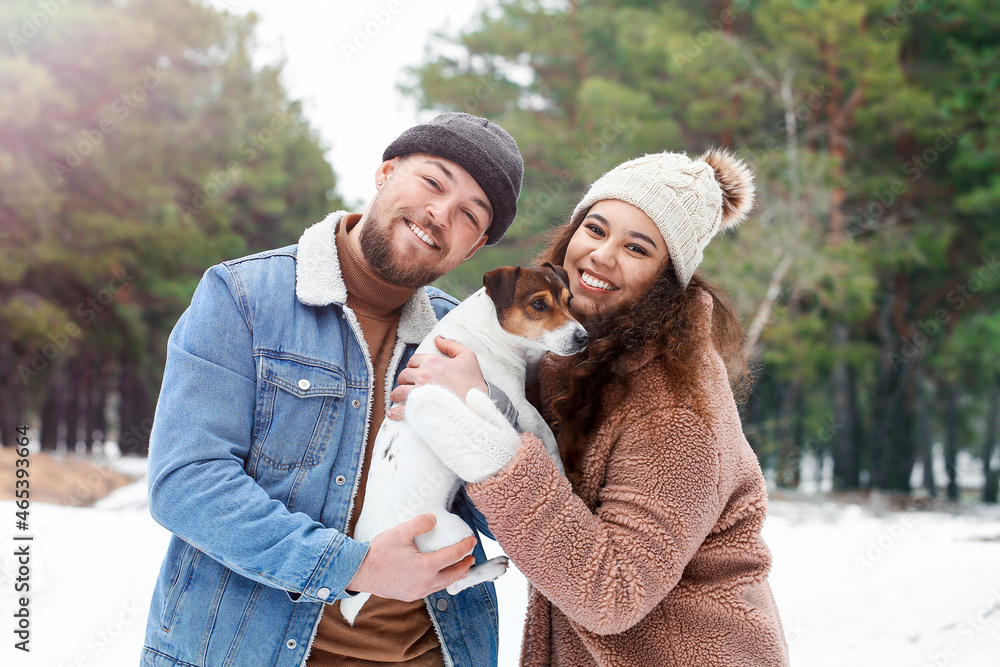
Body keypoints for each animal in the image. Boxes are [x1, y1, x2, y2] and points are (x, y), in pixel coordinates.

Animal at [340, 264, 588, 628]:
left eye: (569, 301)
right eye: (539, 304)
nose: (584, 337)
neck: (488, 331)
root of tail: (371, 542)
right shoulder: (519, 405)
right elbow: (547, 436)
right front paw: (560, 473)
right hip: (454, 531)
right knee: (454, 583)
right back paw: (490, 568)